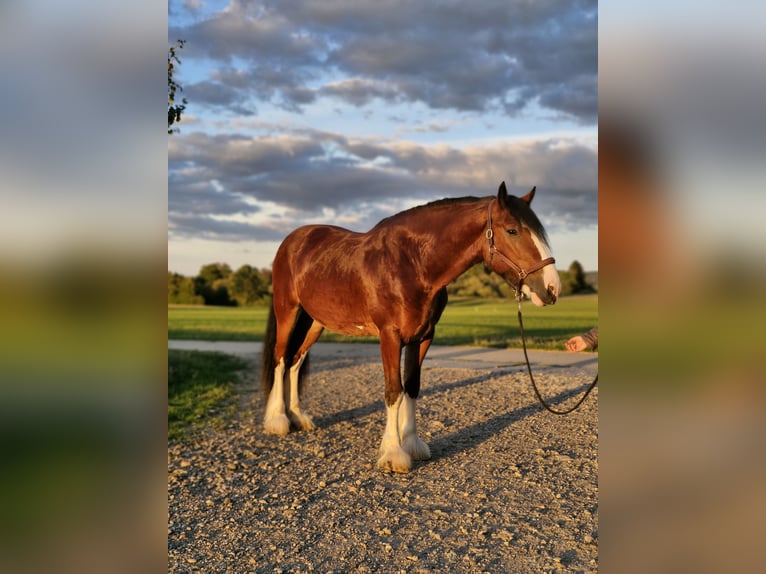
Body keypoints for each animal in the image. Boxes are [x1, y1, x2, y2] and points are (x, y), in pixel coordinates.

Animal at [260, 181, 561, 473]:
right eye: (512, 230)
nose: (552, 288)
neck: (412, 265)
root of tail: (293, 240)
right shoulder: (390, 336)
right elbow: (394, 390)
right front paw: (393, 454)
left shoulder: (422, 336)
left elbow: (412, 386)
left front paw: (412, 444)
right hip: (288, 311)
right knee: (281, 358)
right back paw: (278, 420)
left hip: (316, 322)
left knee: (296, 361)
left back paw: (299, 417)